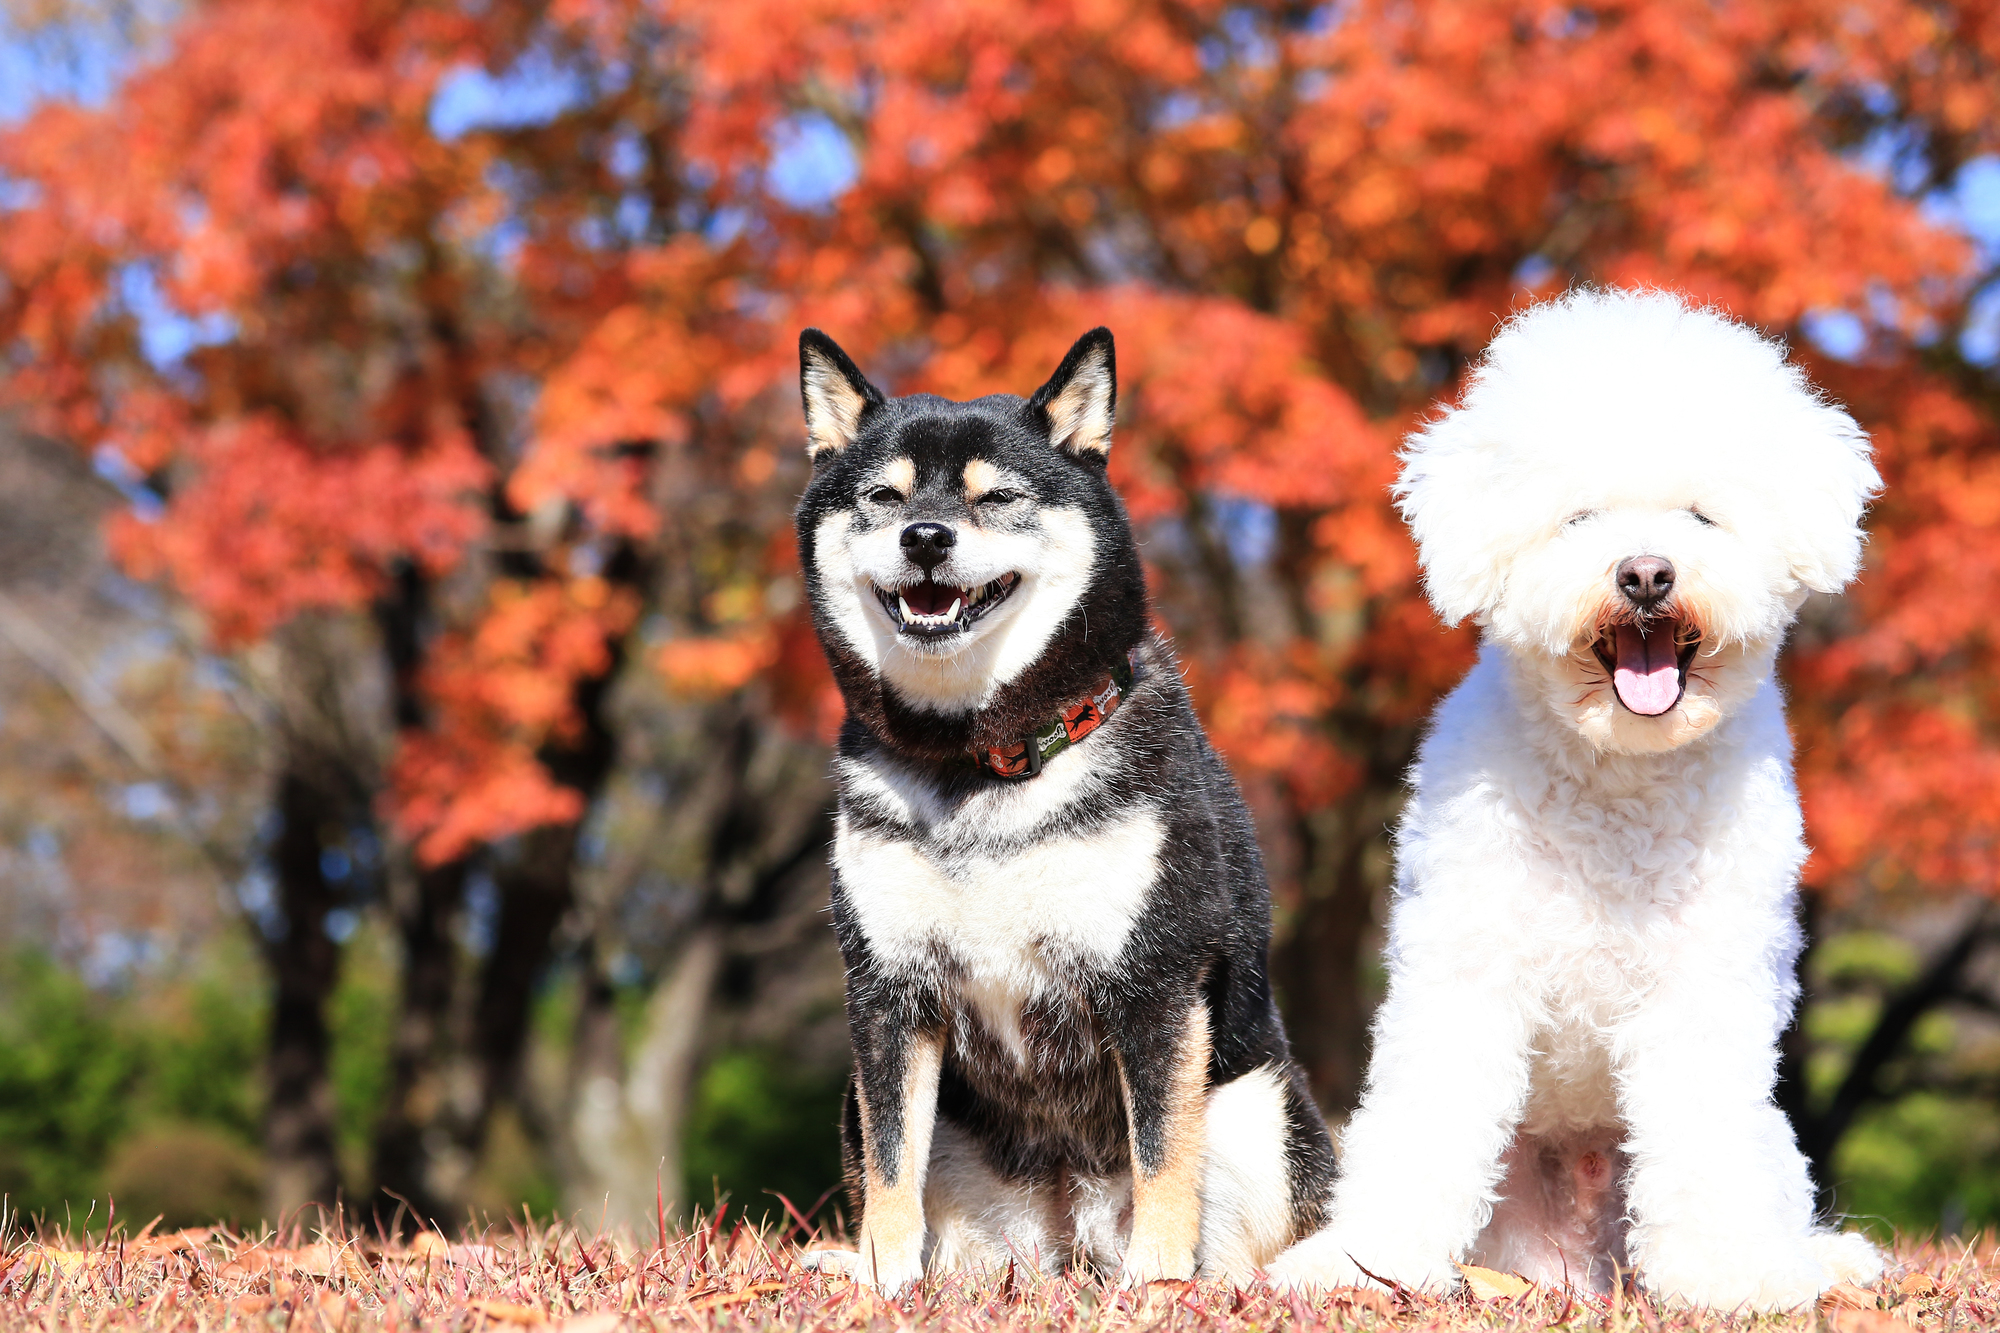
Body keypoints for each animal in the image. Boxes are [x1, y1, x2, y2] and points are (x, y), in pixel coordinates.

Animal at [792, 324, 1328, 1288]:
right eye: (883, 496)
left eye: (998, 495)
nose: (924, 536)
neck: (979, 765)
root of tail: (1067, 1233)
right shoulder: (886, 994)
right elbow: (892, 1163)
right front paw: (884, 1280)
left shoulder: (1156, 977)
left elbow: (1164, 1155)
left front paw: (1158, 1279)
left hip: (1261, 1106)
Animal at [1272, 286, 1880, 1304]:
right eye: (1578, 517)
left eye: (1701, 516)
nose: (1645, 572)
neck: (1618, 773)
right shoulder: (1463, 963)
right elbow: (1426, 1116)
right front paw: (1365, 1257)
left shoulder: (1707, 981)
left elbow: (1705, 1132)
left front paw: (1729, 1272)